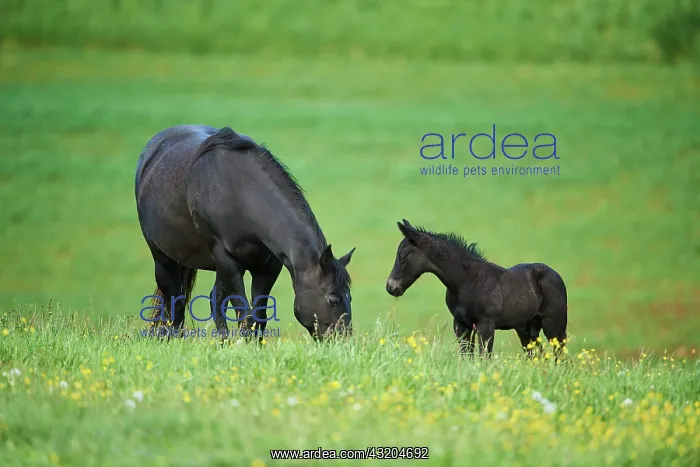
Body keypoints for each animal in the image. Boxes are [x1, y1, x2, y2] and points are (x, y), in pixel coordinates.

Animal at [134, 125, 356, 341]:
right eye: (333, 299)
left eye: (349, 297)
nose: (343, 341)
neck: (240, 194)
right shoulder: (228, 261)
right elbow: (246, 317)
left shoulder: (268, 267)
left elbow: (259, 317)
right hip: (164, 258)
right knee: (173, 301)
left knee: (213, 301)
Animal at [385, 219, 568, 359]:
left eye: (402, 256)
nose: (391, 287)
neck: (467, 281)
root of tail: (554, 274)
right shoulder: (461, 324)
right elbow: (466, 356)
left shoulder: (486, 325)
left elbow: (484, 357)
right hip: (526, 328)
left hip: (554, 324)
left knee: (560, 356)